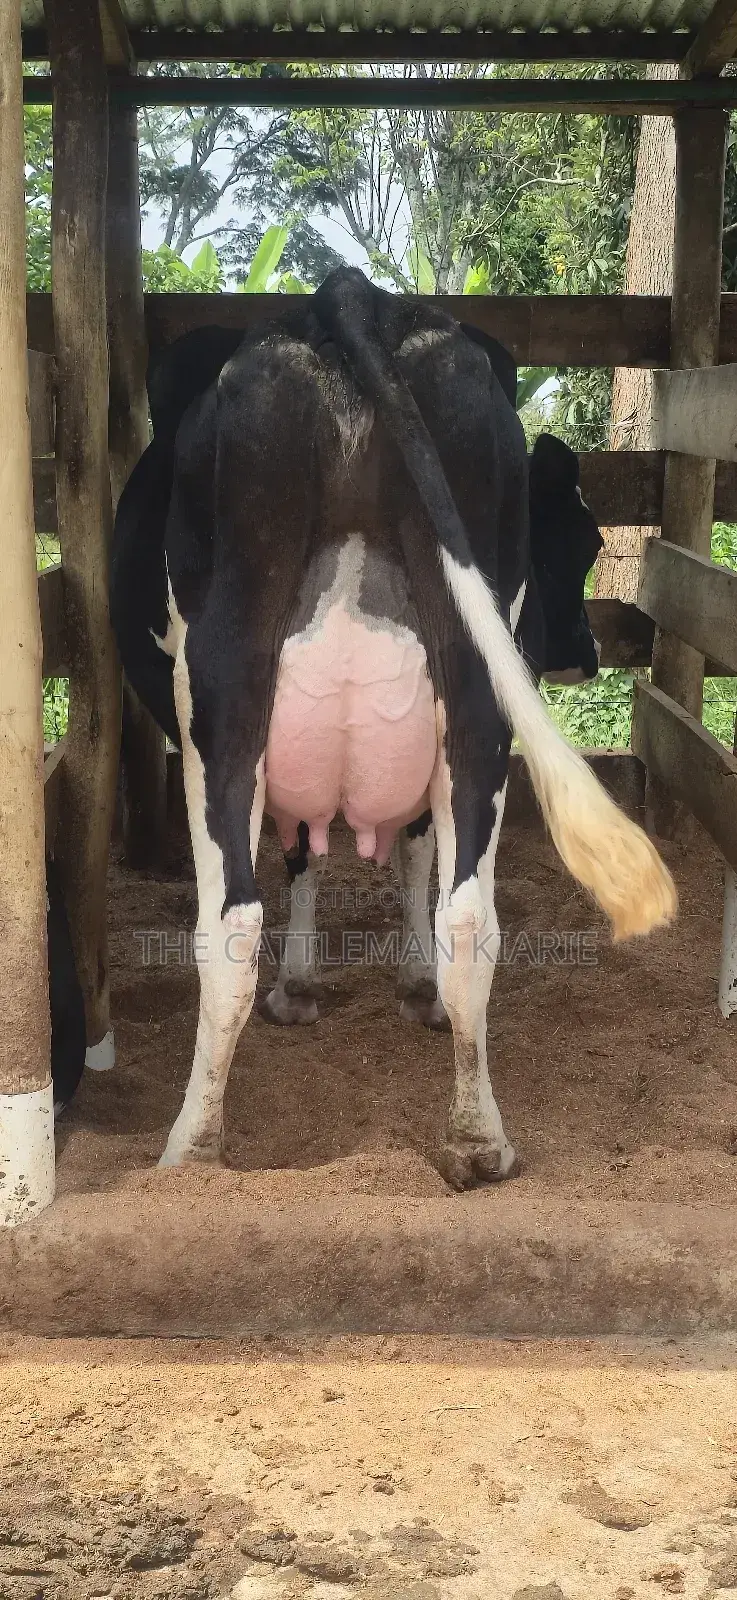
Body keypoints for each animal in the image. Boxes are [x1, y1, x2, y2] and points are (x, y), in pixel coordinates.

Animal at [111, 268, 675, 1185]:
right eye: (583, 541)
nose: (582, 655)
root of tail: (351, 293)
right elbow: (401, 851)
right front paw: (411, 984)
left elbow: (306, 856)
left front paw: (304, 986)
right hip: (478, 683)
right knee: (470, 915)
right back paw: (478, 1141)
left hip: (221, 685)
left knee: (229, 921)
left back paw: (190, 1147)